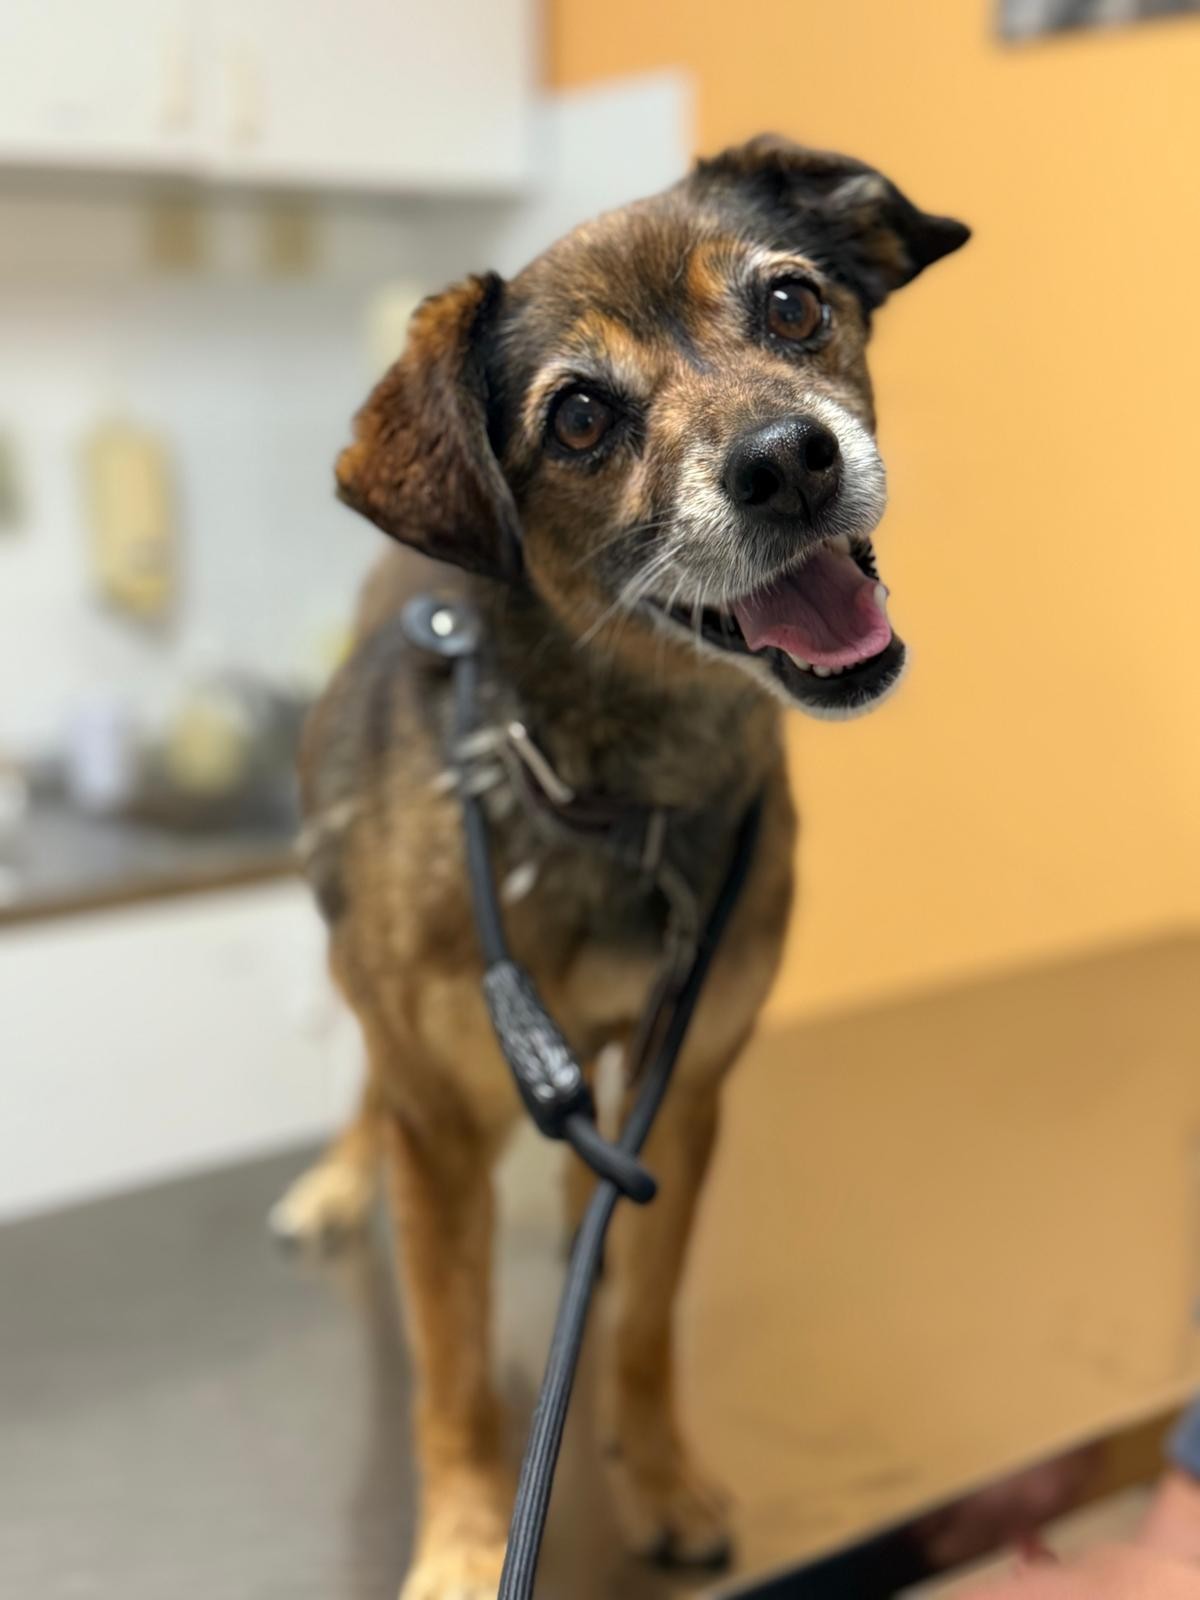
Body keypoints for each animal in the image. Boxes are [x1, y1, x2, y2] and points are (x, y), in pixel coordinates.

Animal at [270, 135, 968, 1600]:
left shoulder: (683, 1096)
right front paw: (466, 1545)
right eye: (581, 418)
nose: (789, 462)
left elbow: (645, 1321)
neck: (619, 790)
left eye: (793, 304)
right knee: (366, 1080)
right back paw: (338, 1180)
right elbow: (453, 1377)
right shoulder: (442, 1128)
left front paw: (655, 1477)